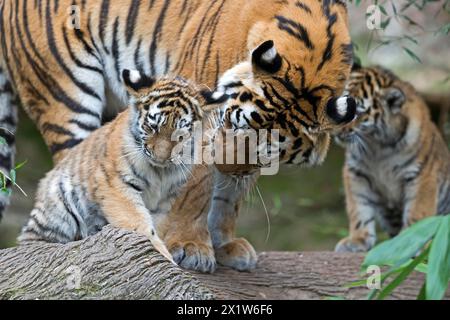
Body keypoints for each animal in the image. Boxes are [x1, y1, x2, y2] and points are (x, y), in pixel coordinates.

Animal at [1, 0, 356, 272]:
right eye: (236, 125)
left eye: (266, 150)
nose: (223, 166)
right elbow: (196, 191)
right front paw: (190, 246)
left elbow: (228, 197)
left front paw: (225, 244)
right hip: (65, 95)